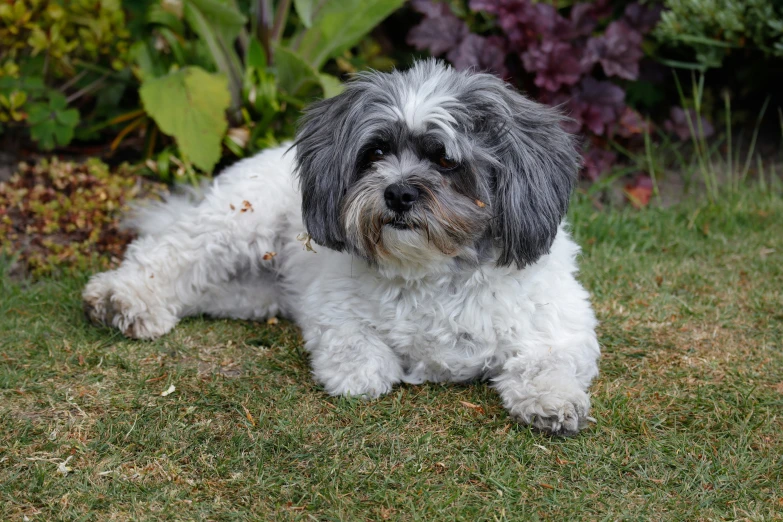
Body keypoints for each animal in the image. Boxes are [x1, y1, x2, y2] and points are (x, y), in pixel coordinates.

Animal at [84, 60, 600, 434]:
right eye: (375, 153)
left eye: (446, 161)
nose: (398, 192)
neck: (434, 272)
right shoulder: (332, 306)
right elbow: (355, 346)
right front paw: (364, 372)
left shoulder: (560, 321)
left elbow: (550, 359)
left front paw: (553, 399)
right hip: (236, 219)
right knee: (169, 251)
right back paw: (122, 298)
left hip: (252, 291)